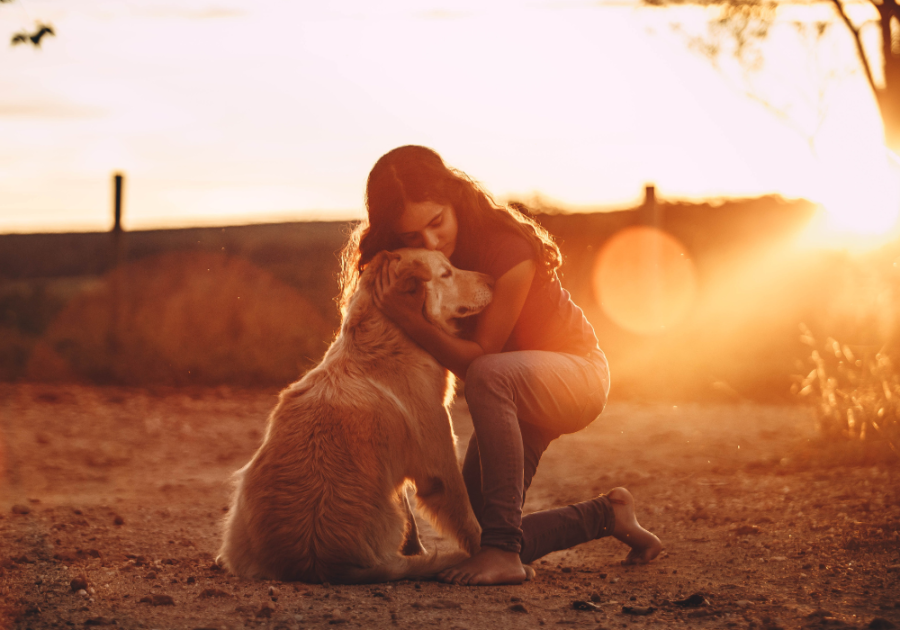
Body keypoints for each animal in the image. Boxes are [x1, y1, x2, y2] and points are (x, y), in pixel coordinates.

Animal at [217, 249, 492, 584]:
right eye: (446, 273)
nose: (492, 280)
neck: (388, 339)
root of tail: (319, 563)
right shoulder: (439, 461)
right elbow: (467, 516)